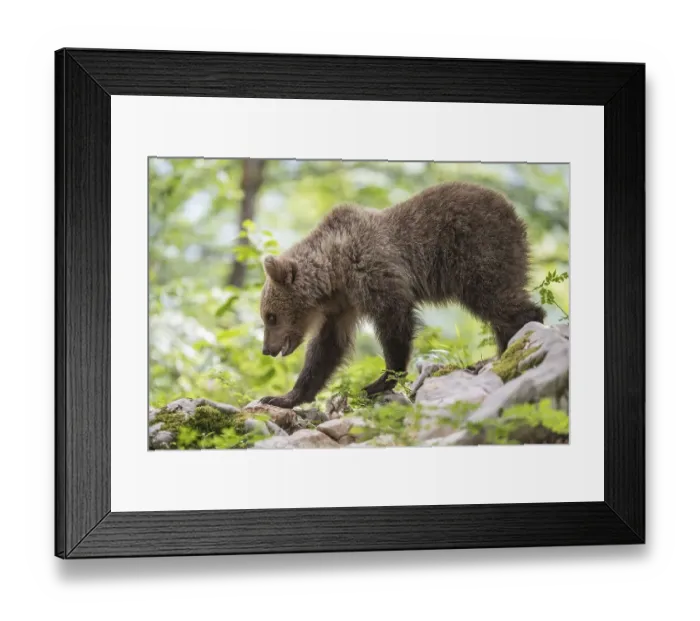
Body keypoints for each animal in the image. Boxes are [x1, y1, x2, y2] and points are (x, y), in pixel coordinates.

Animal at [257, 181, 545, 409]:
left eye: (270, 316)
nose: (266, 349)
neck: (335, 272)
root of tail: (514, 214)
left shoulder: (374, 273)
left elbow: (394, 323)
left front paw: (379, 381)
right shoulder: (342, 307)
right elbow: (326, 349)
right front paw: (283, 397)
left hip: (479, 252)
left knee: (496, 298)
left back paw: (516, 342)